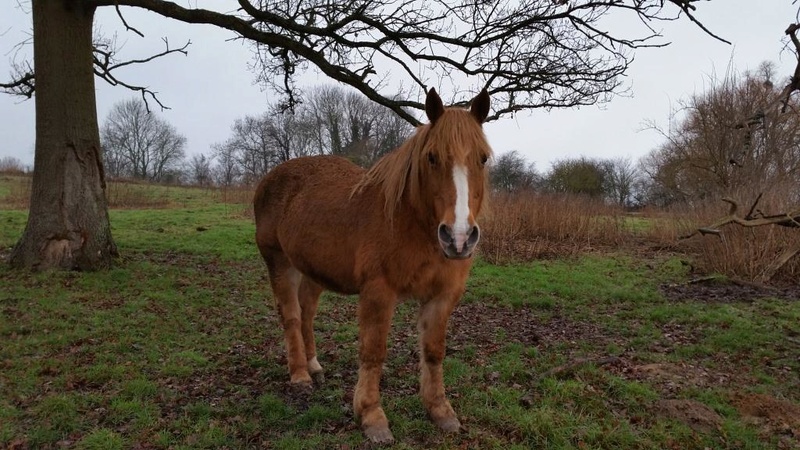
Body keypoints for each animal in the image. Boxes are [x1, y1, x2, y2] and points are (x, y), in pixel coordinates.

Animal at [253, 88, 490, 442]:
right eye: (432, 157)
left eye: (483, 158)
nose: (458, 237)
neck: (410, 222)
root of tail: (268, 180)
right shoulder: (379, 292)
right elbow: (373, 351)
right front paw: (371, 416)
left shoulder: (443, 296)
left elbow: (433, 351)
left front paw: (440, 410)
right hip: (280, 263)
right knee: (291, 316)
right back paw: (300, 376)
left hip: (312, 270)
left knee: (307, 313)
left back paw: (314, 366)